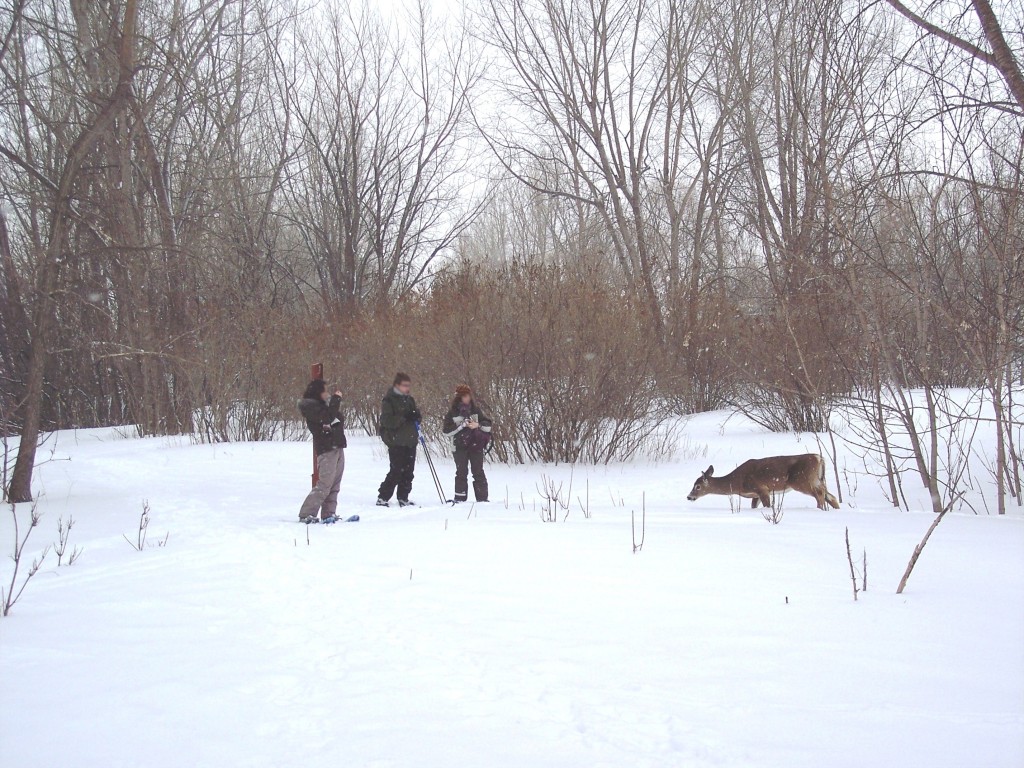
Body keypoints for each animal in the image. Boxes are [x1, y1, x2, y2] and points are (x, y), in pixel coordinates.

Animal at [688, 456, 839, 512]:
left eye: (698, 486)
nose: (689, 497)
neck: (737, 482)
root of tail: (819, 458)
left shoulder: (761, 488)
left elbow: (767, 505)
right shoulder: (755, 494)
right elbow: (754, 506)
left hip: (802, 480)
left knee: (820, 494)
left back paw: (820, 509)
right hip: (817, 480)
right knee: (830, 495)